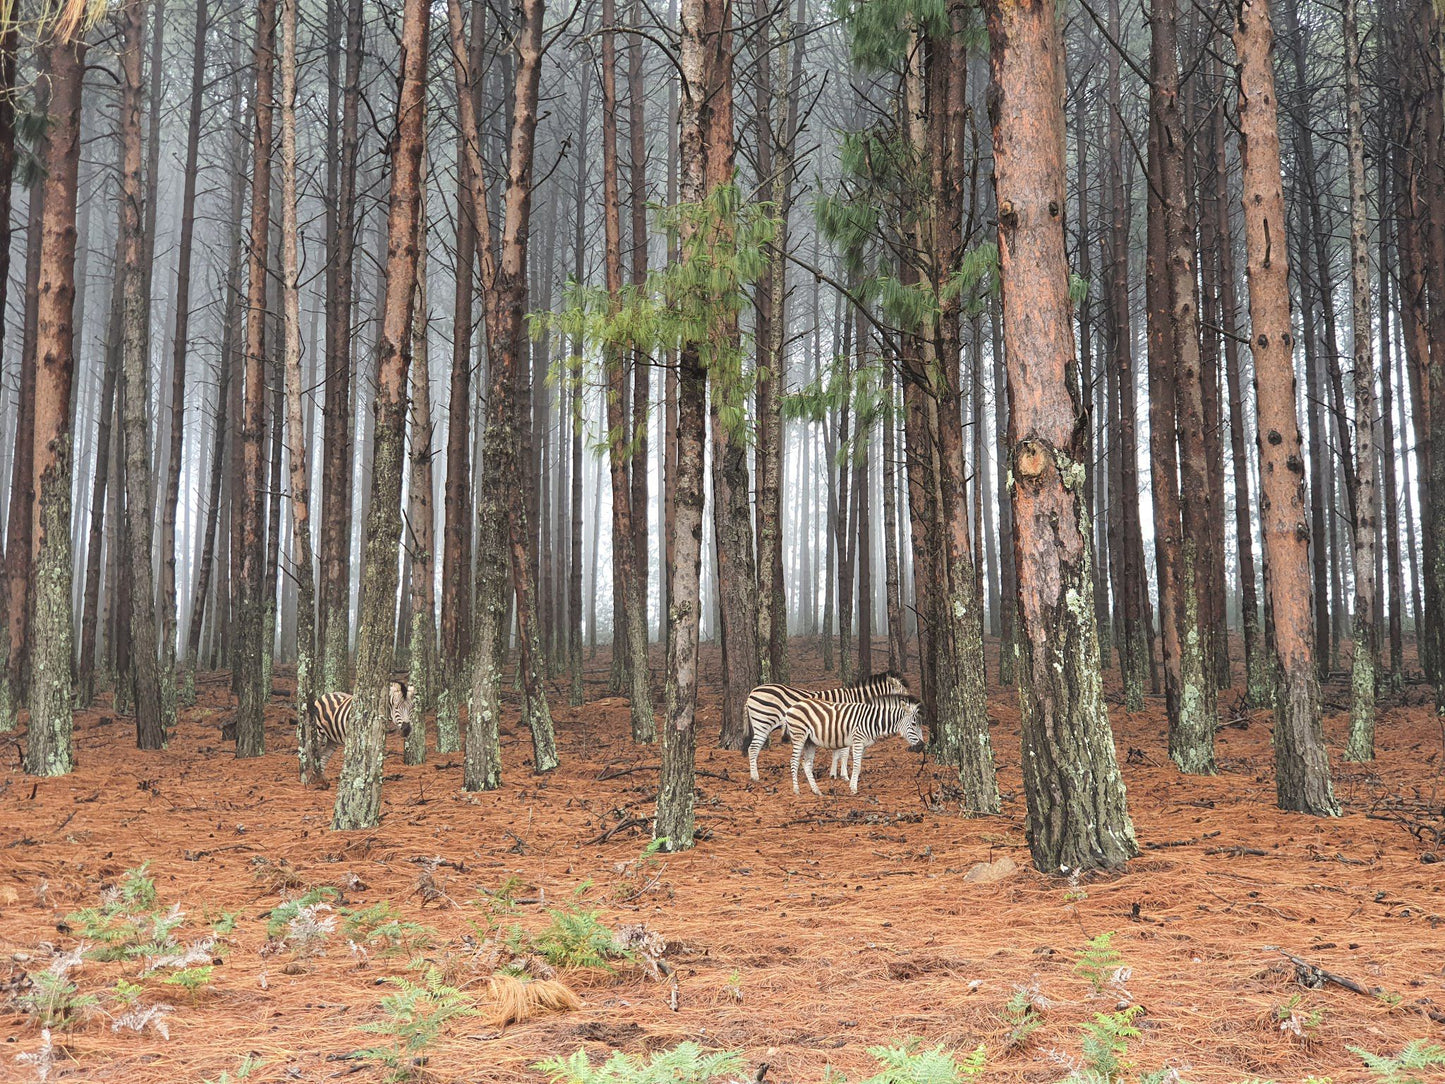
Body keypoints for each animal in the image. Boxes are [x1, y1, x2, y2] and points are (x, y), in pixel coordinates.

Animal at [751, 670, 907, 780]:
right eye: (903, 694)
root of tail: (754, 691)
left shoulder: (837, 728)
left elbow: (836, 753)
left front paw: (833, 775)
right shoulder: (846, 726)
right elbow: (844, 754)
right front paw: (845, 776)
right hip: (763, 723)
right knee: (753, 748)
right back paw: (755, 777)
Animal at [780, 696, 924, 797]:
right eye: (913, 724)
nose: (922, 746)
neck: (874, 721)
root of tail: (793, 706)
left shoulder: (864, 744)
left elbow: (858, 766)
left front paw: (851, 785)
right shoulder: (858, 740)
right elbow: (856, 765)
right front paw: (854, 789)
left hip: (810, 741)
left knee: (806, 763)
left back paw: (816, 791)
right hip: (799, 735)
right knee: (794, 761)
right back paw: (797, 790)